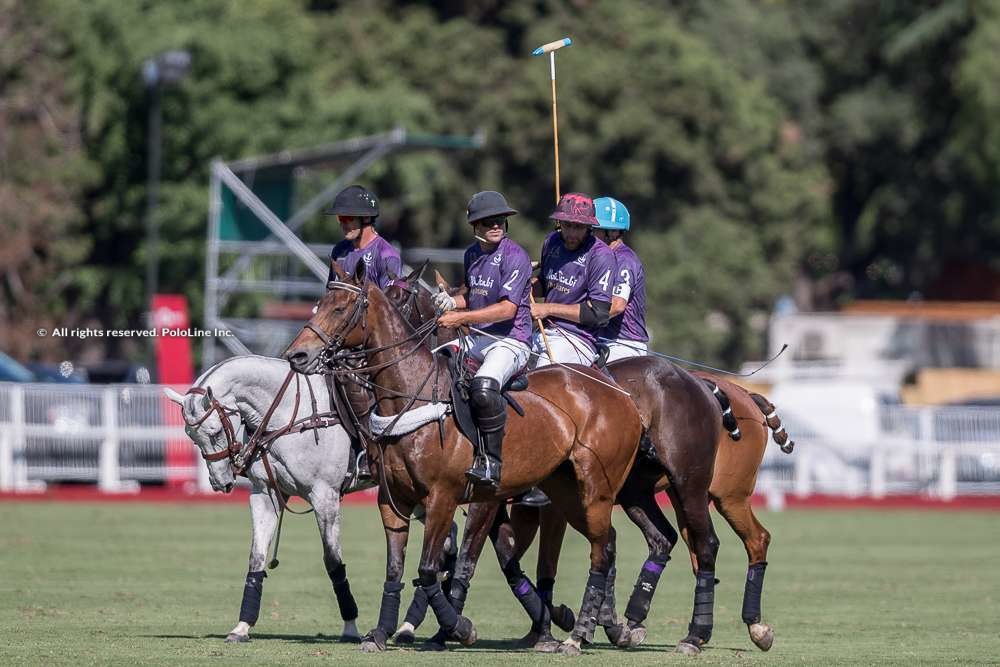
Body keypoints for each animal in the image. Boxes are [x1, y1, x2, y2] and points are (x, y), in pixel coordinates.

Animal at [282, 262, 640, 656]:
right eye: (319, 304)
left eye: (341, 308)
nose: (296, 356)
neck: (413, 394)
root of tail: (621, 394)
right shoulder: (392, 501)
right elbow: (396, 569)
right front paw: (380, 633)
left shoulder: (449, 497)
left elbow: (437, 567)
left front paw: (458, 628)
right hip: (566, 492)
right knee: (606, 542)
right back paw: (592, 626)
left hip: (596, 490)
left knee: (600, 550)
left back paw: (579, 635)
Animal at [384, 274, 796, 656]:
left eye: (399, 300)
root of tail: (727, 391)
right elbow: (505, 558)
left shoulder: (517, 502)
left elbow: (490, 559)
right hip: (650, 492)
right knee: (675, 542)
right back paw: (645, 621)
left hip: (719, 491)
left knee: (741, 540)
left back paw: (731, 630)